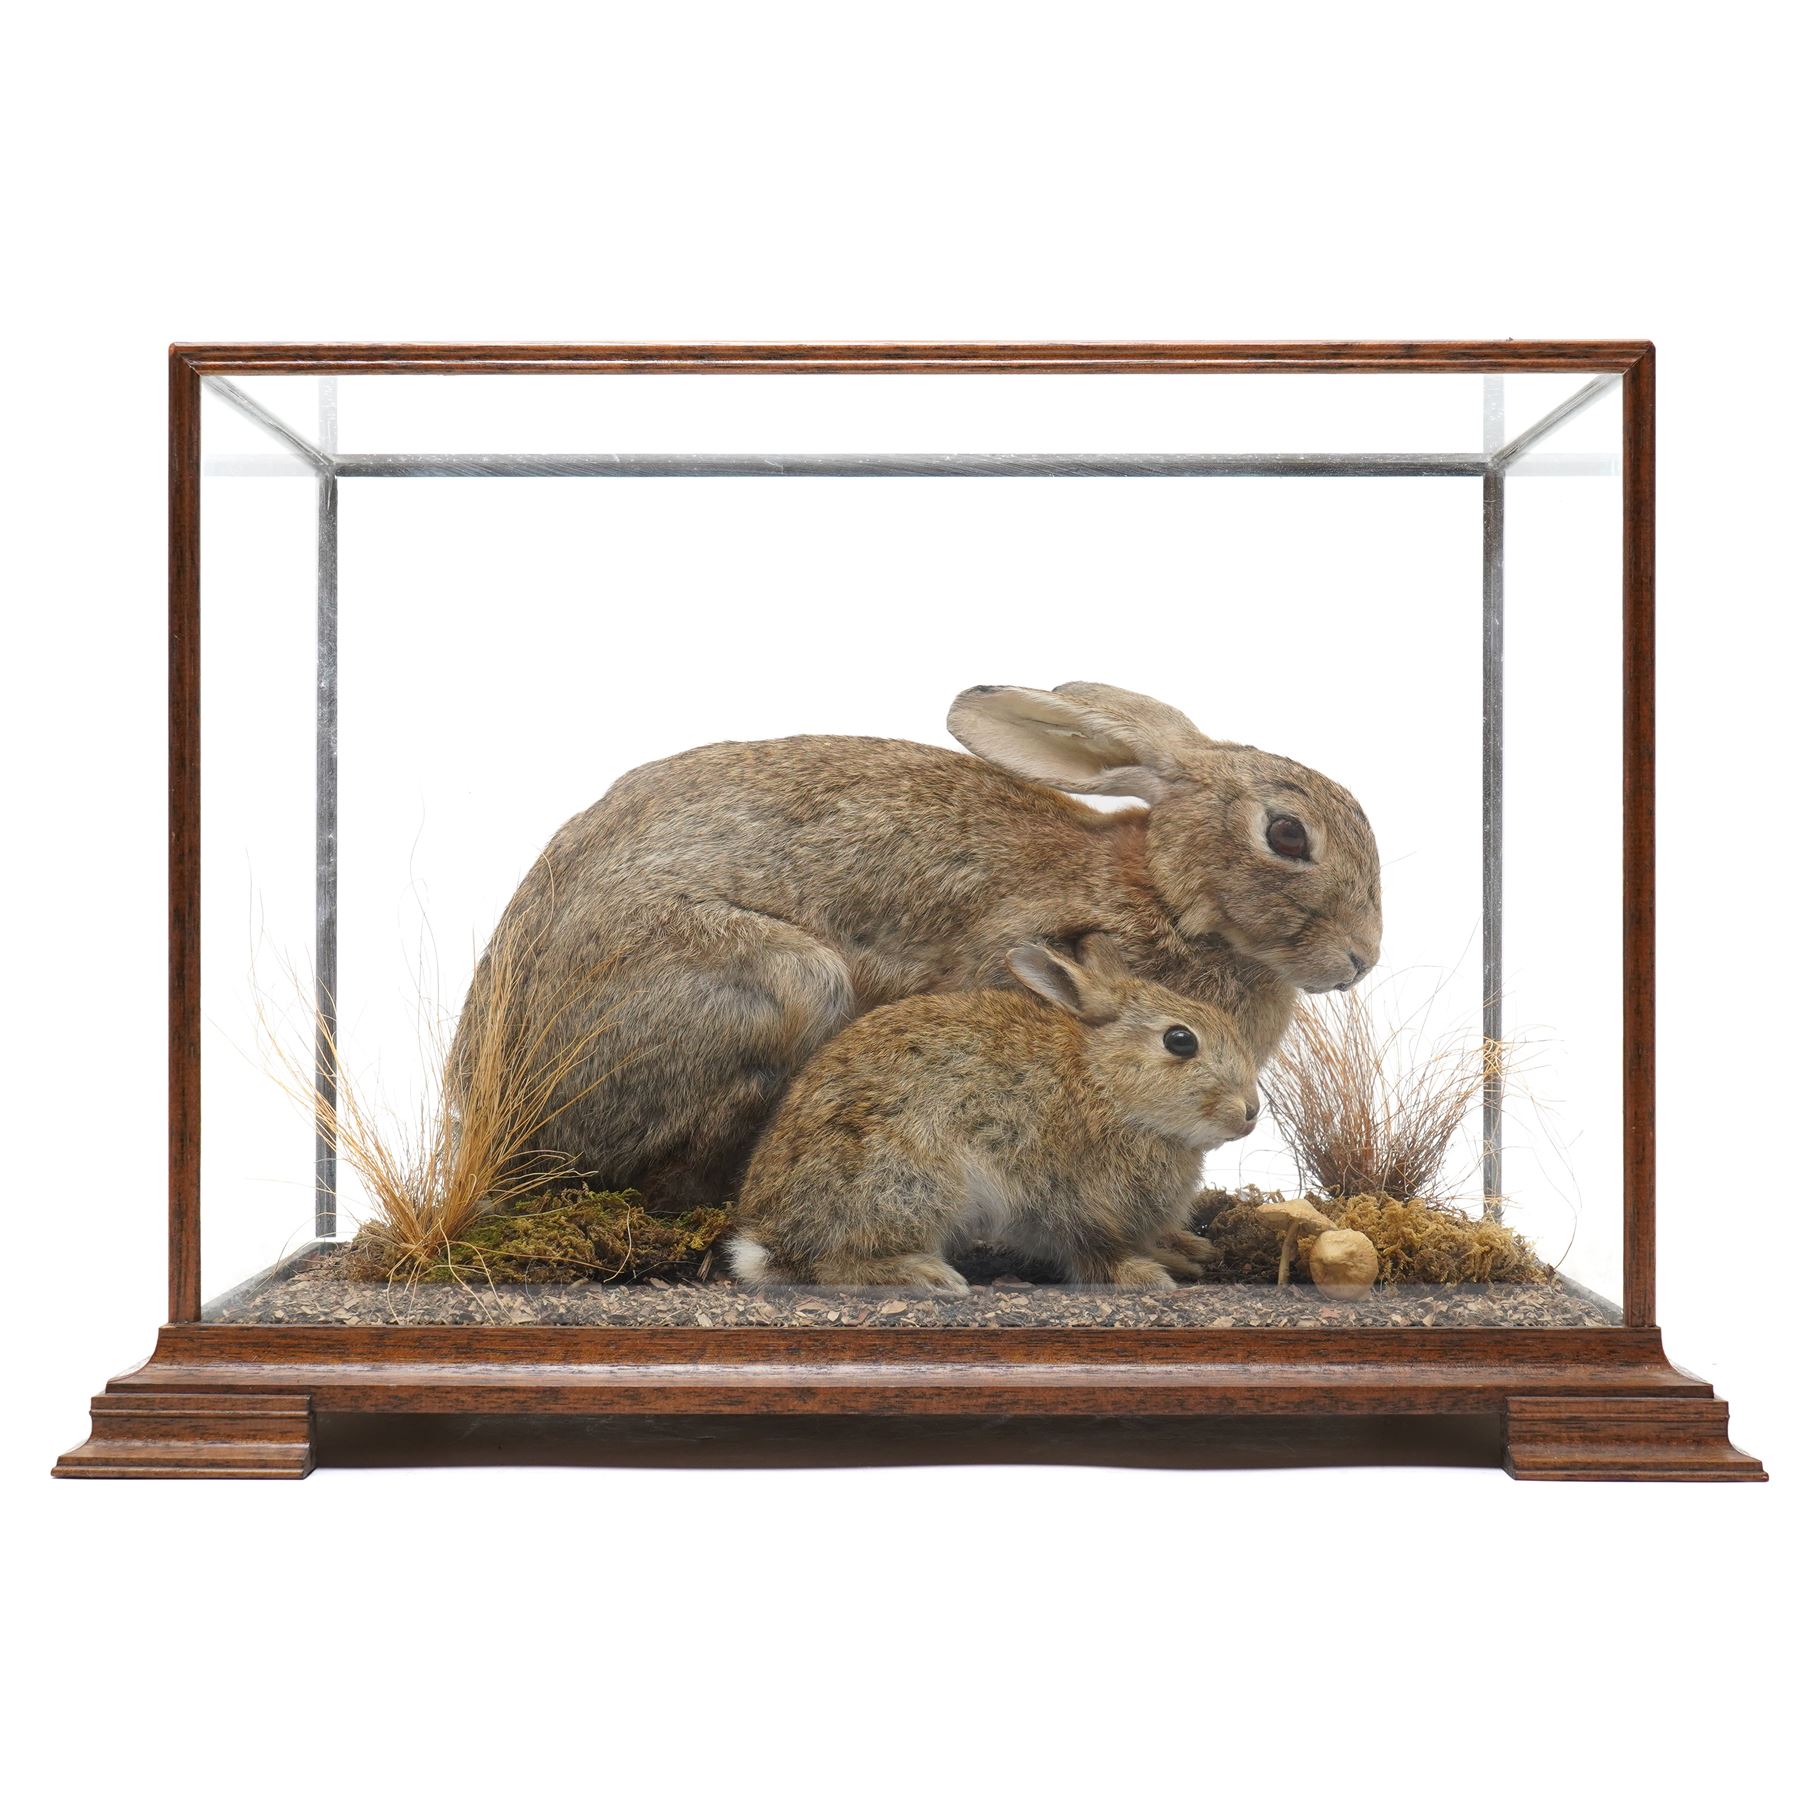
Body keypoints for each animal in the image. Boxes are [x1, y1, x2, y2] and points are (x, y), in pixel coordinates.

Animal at [728, 935, 1261, 1291]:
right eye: (1180, 1040)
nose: (1251, 1112)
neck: (1103, 1082)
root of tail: (772, 1241)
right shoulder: (1066, 1199)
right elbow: (1091, 1250)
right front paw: (1145, 1275)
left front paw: (1188, 1254)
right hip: (909, 1183)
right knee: (835, 1264)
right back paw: (927, 1275)